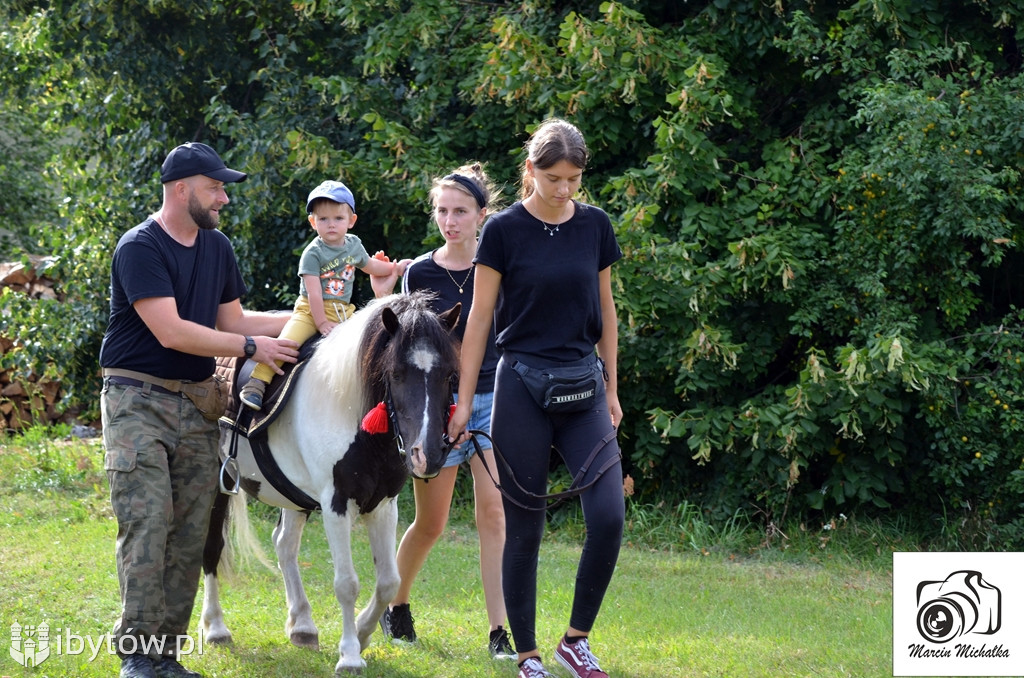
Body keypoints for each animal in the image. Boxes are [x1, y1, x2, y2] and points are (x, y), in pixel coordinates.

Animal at [201, 292, 458, 675]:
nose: (427, 454)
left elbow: (389, 581)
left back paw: (303, 626)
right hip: (219, 482)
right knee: (213, 547)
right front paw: (350, 653)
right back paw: (216, 627)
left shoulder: (384, 505)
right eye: (396, 374)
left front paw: (364, 634)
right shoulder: (335, 502)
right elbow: (347, 583)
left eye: (448, 375)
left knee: (284, 545)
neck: (347, 408)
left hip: (292, 497)